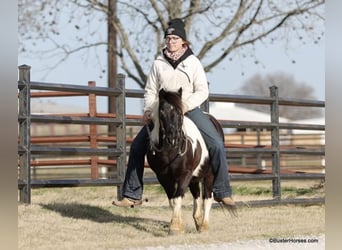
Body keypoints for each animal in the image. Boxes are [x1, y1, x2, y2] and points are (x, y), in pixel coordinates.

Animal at [146, 88, 226, 234]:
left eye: (179, 111)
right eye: (161, 111)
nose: (172, 137)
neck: (170, 151)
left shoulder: (185, 175)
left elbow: (178, 198)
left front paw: (175, 228)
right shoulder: (163, 177)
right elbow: (172, 200)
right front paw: (179, 225)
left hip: (209, 174)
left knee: (207, 197)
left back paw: (204, 226)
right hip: (194, 178)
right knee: (197, 196)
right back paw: (198, 221)